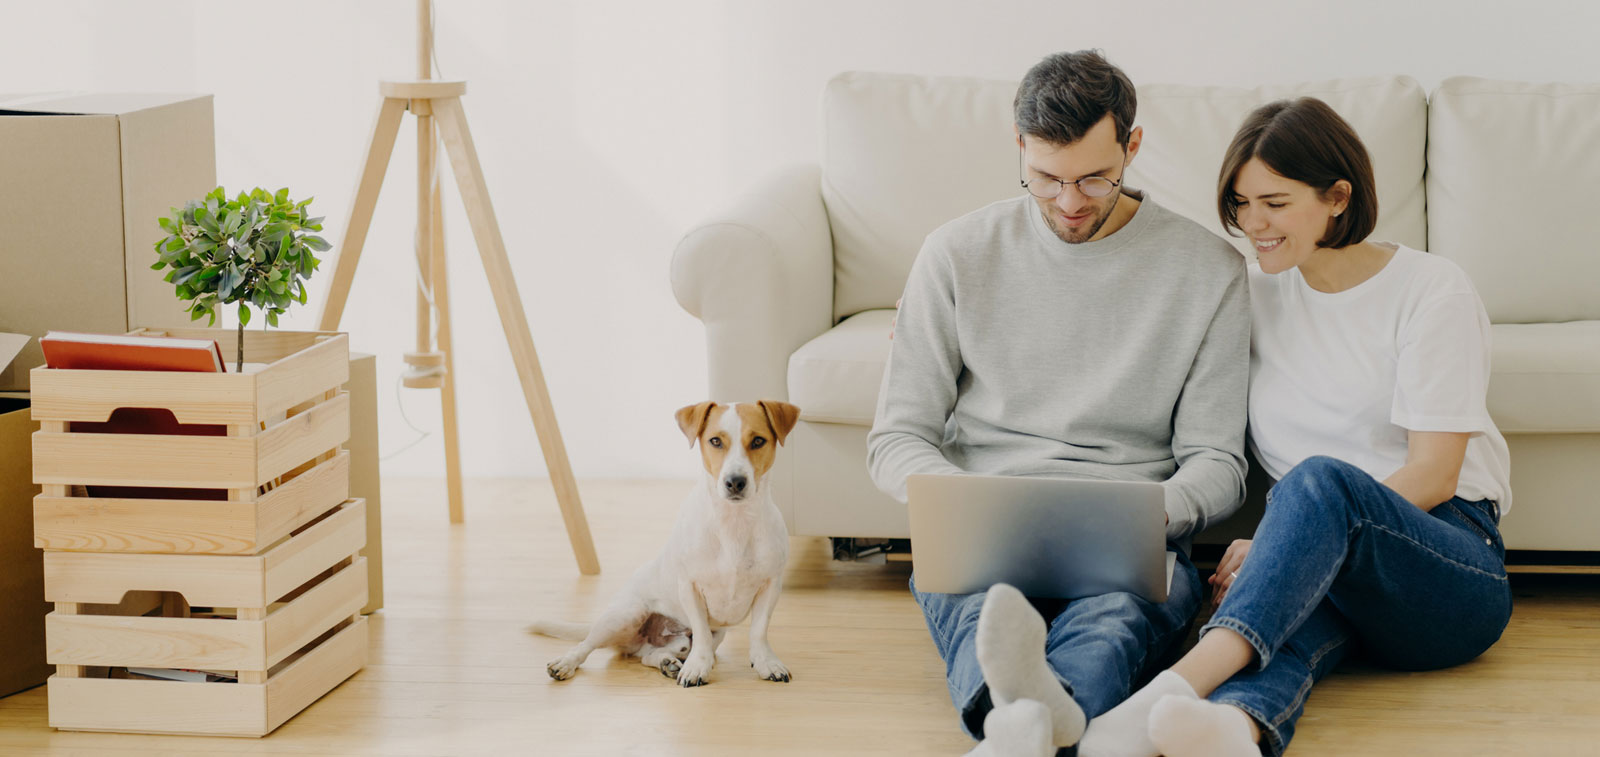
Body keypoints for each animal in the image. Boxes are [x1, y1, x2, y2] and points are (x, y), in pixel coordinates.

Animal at [531, 398, 800, 688]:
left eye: (758, 440)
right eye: (715, 441)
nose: (735, 482)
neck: (733, 523)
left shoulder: (770, 585)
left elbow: (759, 631)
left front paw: (765, 662)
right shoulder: (690, 587)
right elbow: (702, 633)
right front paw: (697, 667)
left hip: (699, 637)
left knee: (650, 654)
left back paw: (667, 663)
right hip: (624, 615)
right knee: (586, 644)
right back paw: (566, 662)